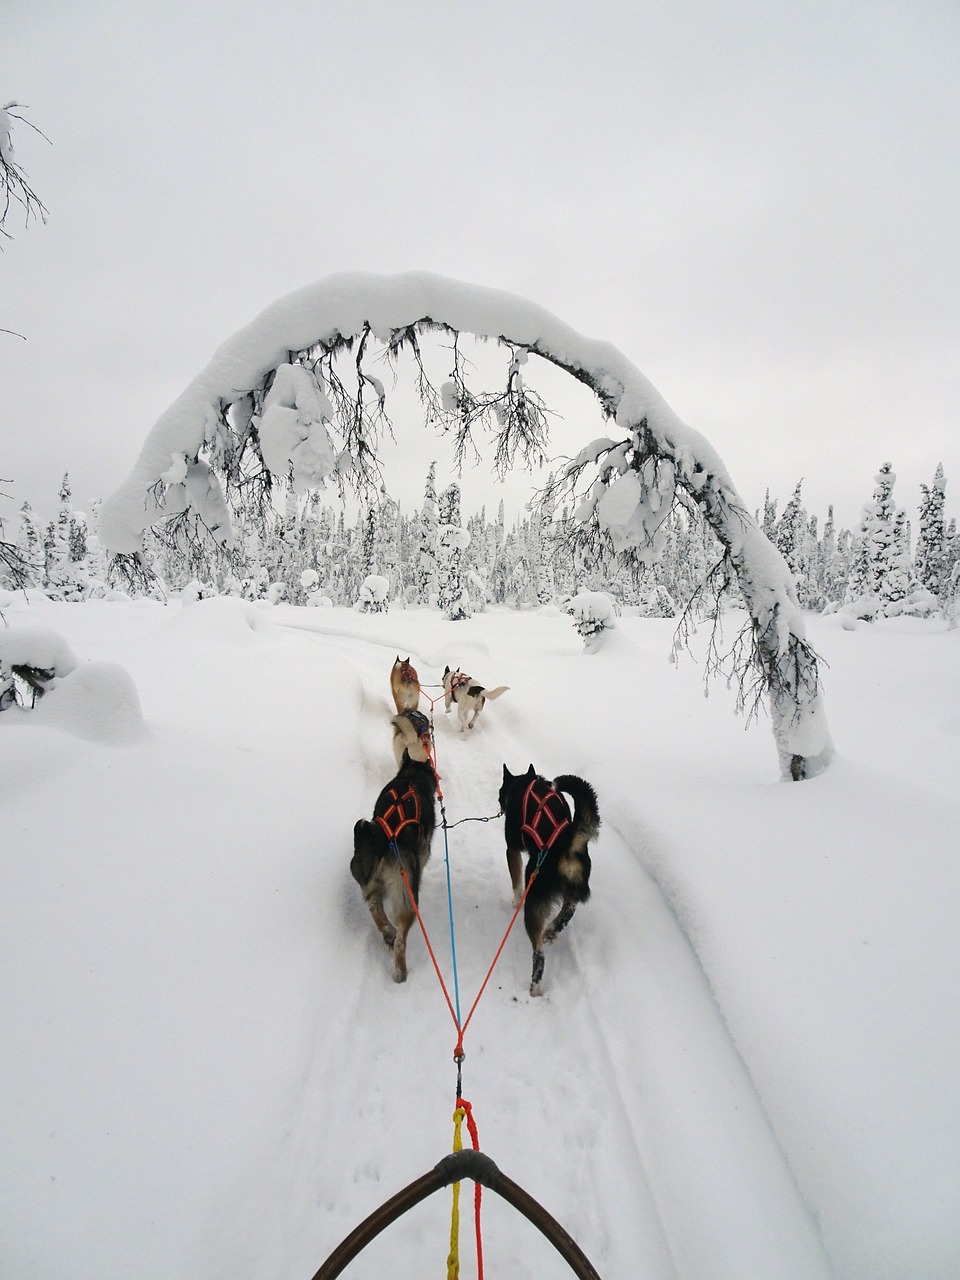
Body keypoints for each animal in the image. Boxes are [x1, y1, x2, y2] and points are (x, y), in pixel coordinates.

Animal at [350, 747, 437, 977]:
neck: (411, 778)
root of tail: (384, 841)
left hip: (371, 881)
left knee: (374, 906)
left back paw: (388, 931)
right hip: (407, 897)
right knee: (400, 941)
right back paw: (401, 973)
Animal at [499, 757, 599, 998]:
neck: (524, 784)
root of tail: (567, 843)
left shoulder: (512, 849)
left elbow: (516, 882)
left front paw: (515, 901)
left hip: (535, 892)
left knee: (539, 956)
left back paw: (534, 988)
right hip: (574, 890)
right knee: (567, 911)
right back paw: (553, 930)